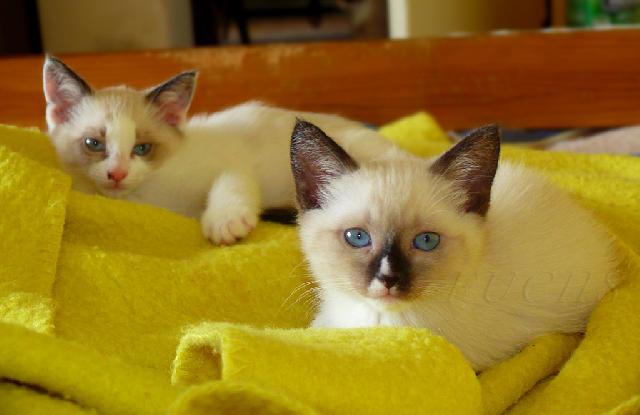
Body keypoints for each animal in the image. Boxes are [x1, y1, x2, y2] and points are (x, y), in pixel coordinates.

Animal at [43, 56, 398, 244]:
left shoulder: (234, 159)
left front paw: (225, 222)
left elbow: (231, 178)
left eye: (142, 148)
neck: (145, 198)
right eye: (94, 144)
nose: (117, 173)